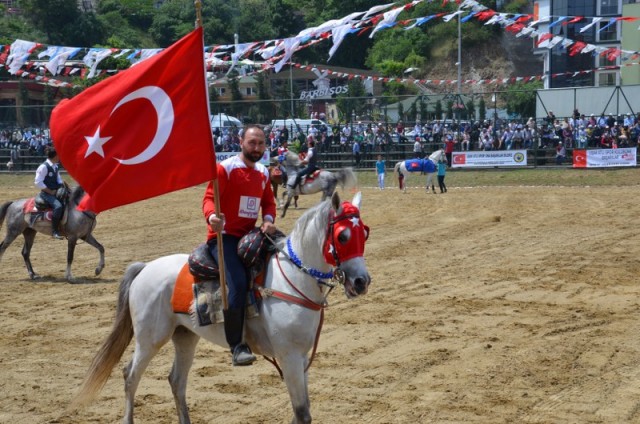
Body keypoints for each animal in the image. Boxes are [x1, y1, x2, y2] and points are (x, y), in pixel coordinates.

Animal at [71, 192, 370, 424]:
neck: (293, 279)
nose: (361, 281)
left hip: (185, 337)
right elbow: (302, 413)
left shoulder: (301, 359)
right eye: (343, 236)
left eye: (364, 233)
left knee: (176, 381)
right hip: (150, 339)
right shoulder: (290, 358)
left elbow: (302, 412)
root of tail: (145, 268)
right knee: (130, 376)